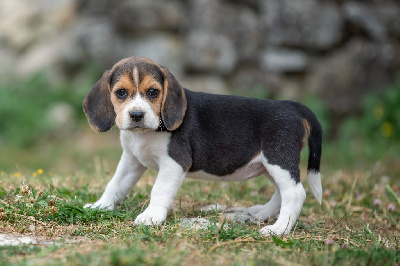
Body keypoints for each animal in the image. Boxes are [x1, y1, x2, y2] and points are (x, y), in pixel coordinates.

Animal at [83, 56, 324, 235]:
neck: (144, 134)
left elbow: (159, 189)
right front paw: (101, 206)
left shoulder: (174, 163)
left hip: (278, 158)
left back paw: (279, 229)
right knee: (280, 192)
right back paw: (262, 213)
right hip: (269, 164)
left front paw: (152, 217)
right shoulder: (131, 160)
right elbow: (115, 184)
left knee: (294, 193)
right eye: (121, 92)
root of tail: (293, 107)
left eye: (153, 92)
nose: (136, 115)